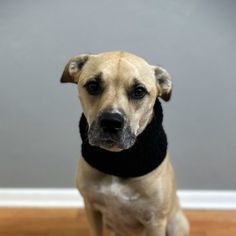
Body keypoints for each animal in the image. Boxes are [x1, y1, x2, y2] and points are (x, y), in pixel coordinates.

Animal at [61, 51, 190, 236]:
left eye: (139, 91)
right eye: (93, 86)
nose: (111, 122)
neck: (119, 162)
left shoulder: (155, 221)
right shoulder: (91, 208)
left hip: (176, 224)